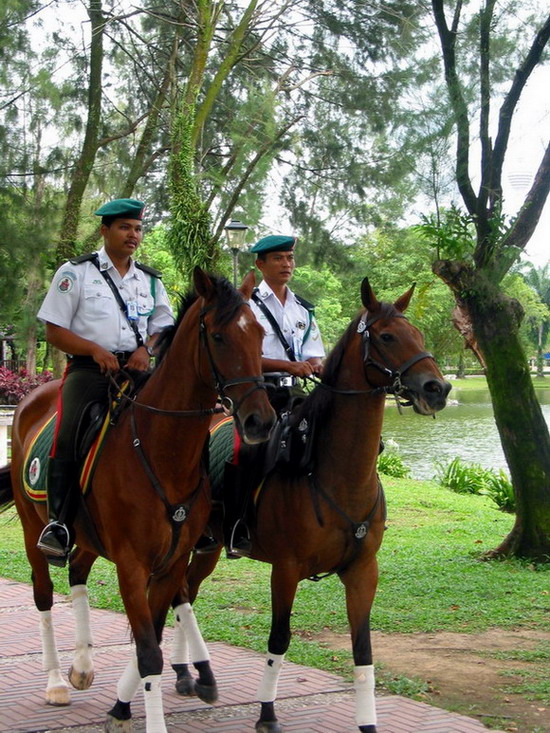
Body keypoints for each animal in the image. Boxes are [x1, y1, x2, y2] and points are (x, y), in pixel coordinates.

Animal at [0, 268, 276, 732]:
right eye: (220, 337)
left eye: (258, 335)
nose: (261, 421)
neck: (162, 449)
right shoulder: (132, 564)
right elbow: (148, 652)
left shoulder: (172, 563)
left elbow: (157, 637)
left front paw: (127, 700)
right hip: (32, 525)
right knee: (42, 594)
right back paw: (56, 681)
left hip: (88, 535)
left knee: (77, 573)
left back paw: (83, 665)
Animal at [172, 278, 452, 728]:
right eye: (387, 337)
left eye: (420, 335)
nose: (437, 389)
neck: (334, 473)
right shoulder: (285, 570)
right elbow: (279, 639)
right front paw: (267, 712)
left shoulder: (363, 571)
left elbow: (363, 649)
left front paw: (368, 722)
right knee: (177, 593)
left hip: (208, 547)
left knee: (188, 593)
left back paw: (185, 671)